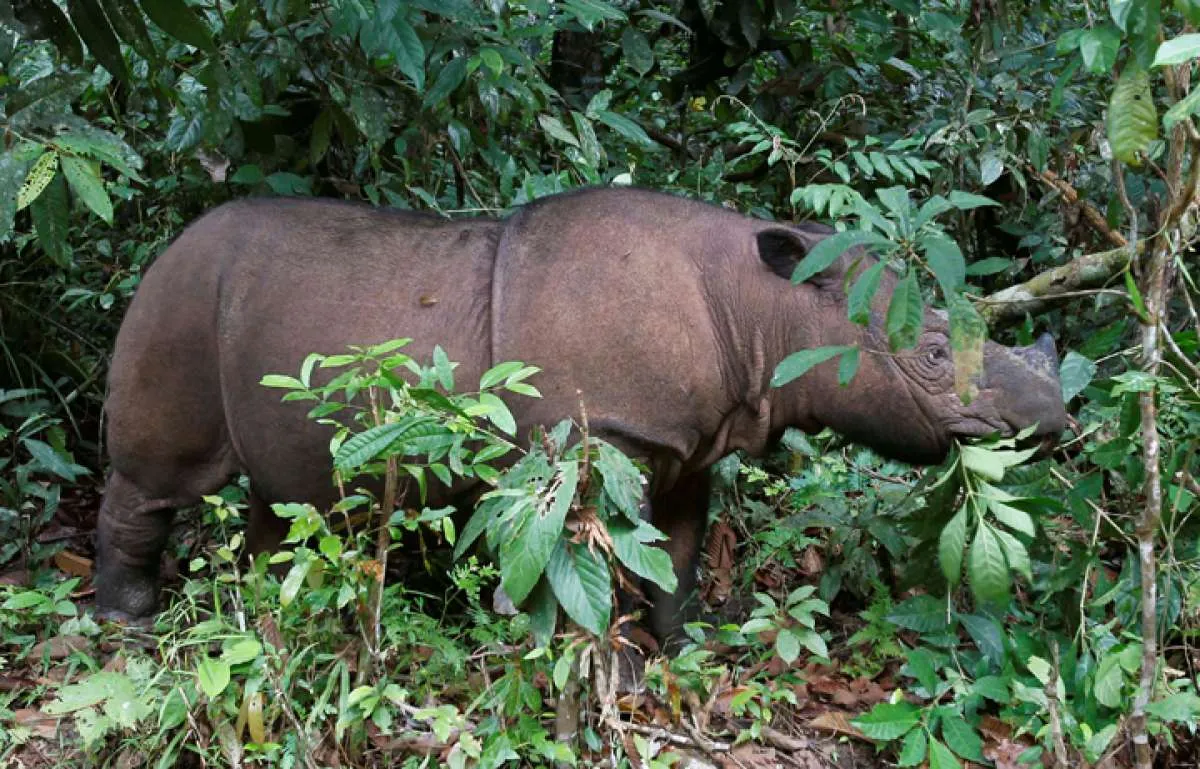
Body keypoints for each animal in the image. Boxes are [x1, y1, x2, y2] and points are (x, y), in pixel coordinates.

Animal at [95, 187, 1067, 637]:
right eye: (934, 356)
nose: (1054, 417)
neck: (765, 310)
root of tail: (169, 245)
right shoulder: (600, 436)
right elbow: (577, 563)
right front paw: (600, 661)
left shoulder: (689, 438)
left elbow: (676, 551)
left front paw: (686, 645)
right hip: (178, 298)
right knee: (154, 478)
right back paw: (129, 622)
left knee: (287, 496)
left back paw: (270, 615)